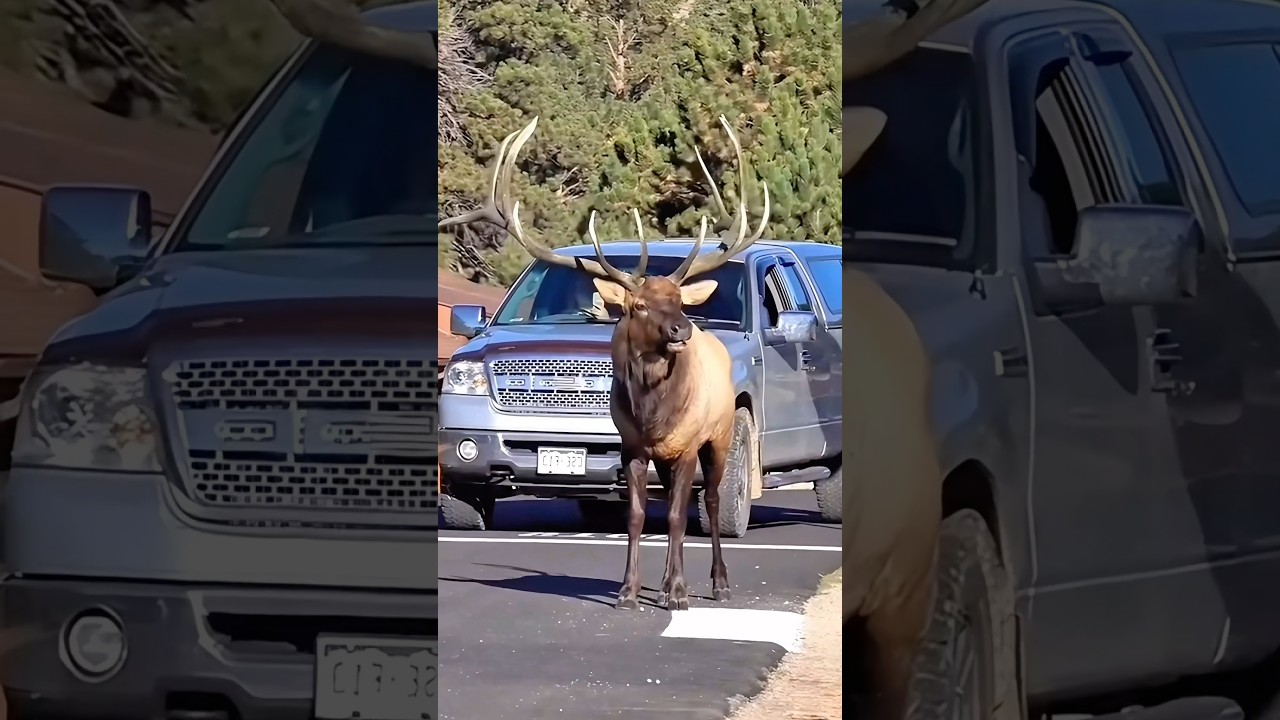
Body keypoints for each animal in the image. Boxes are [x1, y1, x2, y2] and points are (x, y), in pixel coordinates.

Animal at [437, 115, 769, 611]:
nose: (683, 331)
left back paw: (717, 583)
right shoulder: (632, 446)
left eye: (677, 301)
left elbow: (676, 517)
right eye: (640, 306)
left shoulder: (688, 444)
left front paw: (677, 593)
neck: (652, 413)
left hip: (722, 434)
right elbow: (636, 515)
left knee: (709, 501)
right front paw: (629, 592)